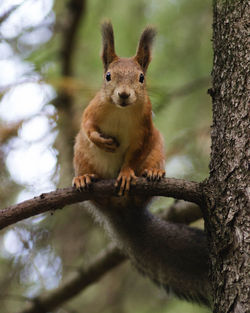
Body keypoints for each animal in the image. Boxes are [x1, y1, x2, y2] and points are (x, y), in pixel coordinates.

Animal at [73, 21, 166, 195]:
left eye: (141, 78)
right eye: (108, 76)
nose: (123, 94)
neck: (120, 110)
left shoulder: (144, 129)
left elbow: (135, 154)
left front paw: (126, 173)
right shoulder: (94, 108)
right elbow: (87, 126)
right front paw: (102, 142)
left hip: (156, 148)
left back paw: (154, 171)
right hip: (81, 153)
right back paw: (83, 177)